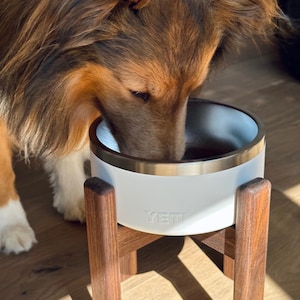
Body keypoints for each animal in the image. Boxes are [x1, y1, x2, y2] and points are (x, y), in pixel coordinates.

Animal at [0, 0, 284, 254]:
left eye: (191, 89)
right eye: (139, 93)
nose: (168, 174)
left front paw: (74, 194)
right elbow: (5, 170)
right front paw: (11, 225)